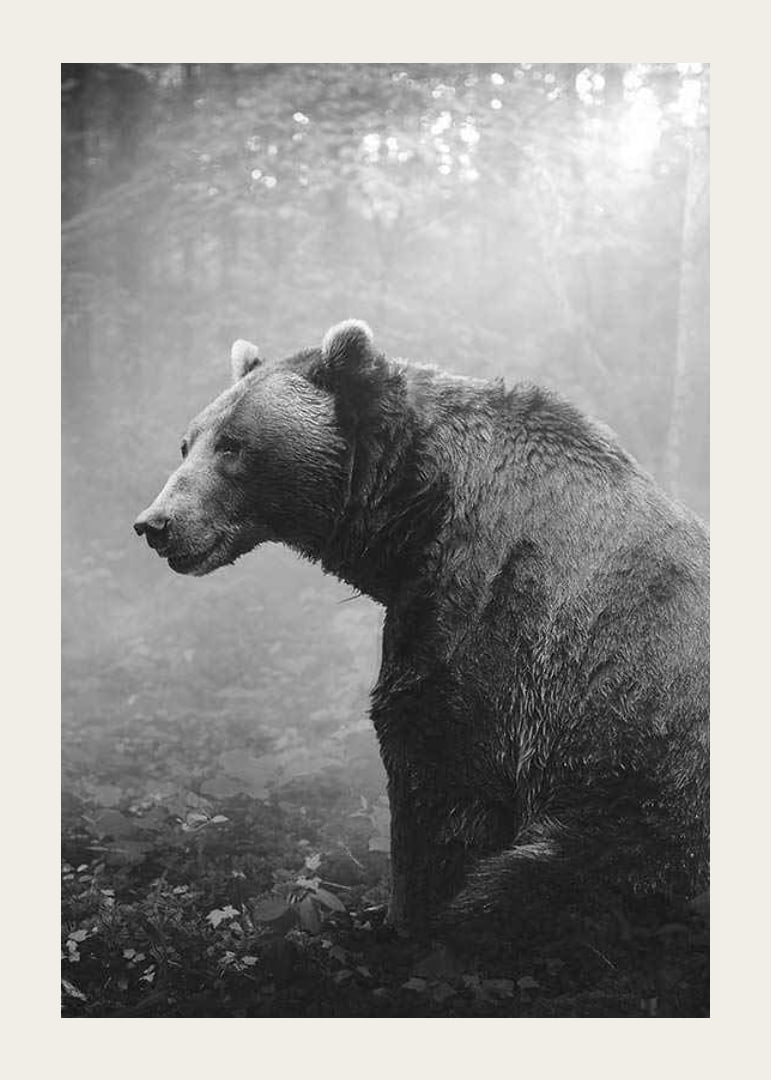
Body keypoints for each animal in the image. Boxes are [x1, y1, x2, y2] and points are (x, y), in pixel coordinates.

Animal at [135, 320, 709, 938]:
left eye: (233, 445)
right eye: (188, 442)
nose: (156, 524)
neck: (415, 515)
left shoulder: (493, 621)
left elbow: (439, 777)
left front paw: (401, 919)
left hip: (645, 816)